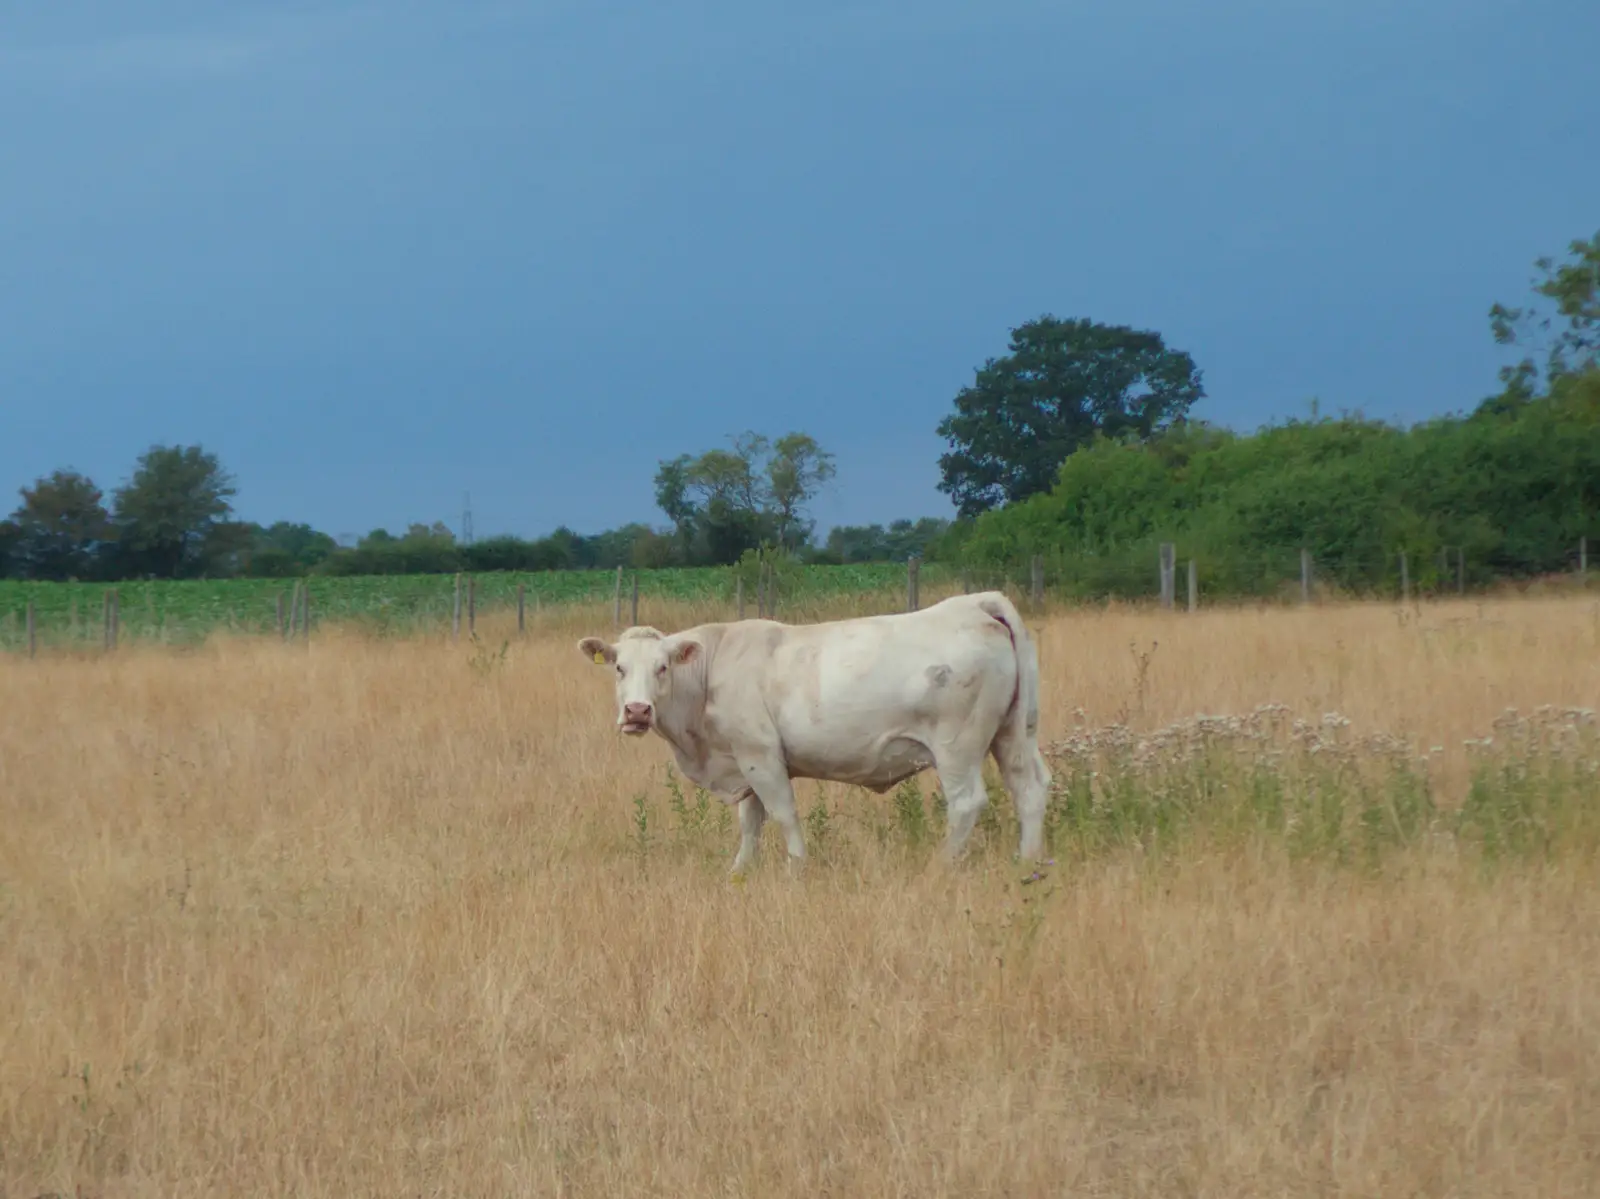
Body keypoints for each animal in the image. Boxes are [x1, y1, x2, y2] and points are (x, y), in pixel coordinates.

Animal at [576, 590, 1052, 877]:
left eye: (662, 667)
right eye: (619, 668)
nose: (637, 711)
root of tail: (973, 604)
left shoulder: (760, 755)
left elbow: (782, 813)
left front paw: (796, 869)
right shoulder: (742, 761)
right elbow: (750, 822)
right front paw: (739, 872)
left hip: (957, 746)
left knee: (967, 803)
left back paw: (939, 866)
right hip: (1013, 735)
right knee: (1030, 788)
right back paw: (1026, 861)